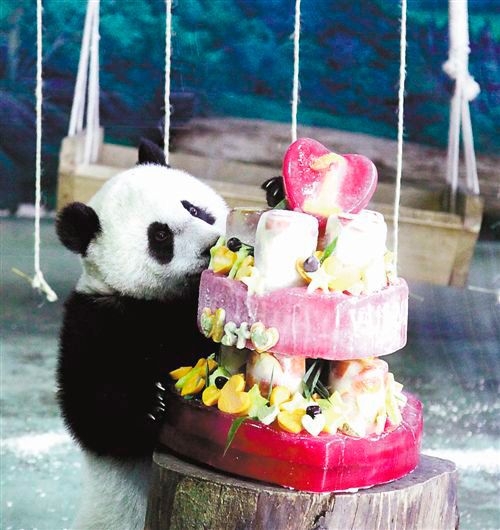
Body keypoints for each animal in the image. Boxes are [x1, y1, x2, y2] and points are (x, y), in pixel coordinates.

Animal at [56, 139, 227, 528]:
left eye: (193, 208)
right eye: (160, 235)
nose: (211, 246)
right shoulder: (97, 319)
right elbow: (93, 412)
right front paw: (153, 404)